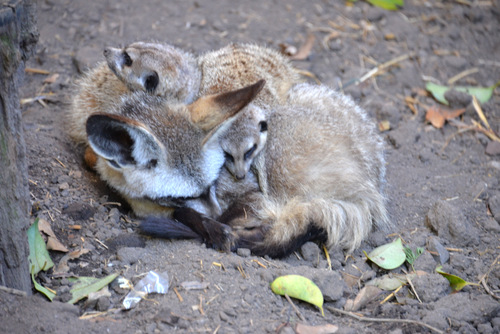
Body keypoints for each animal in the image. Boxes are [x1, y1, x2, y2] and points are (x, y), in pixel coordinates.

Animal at [70, 40, 390, 258]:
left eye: (212, 184)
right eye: (179, 196)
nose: (217, 214)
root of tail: (370, 187)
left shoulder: (254, 195)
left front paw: (216, 229)